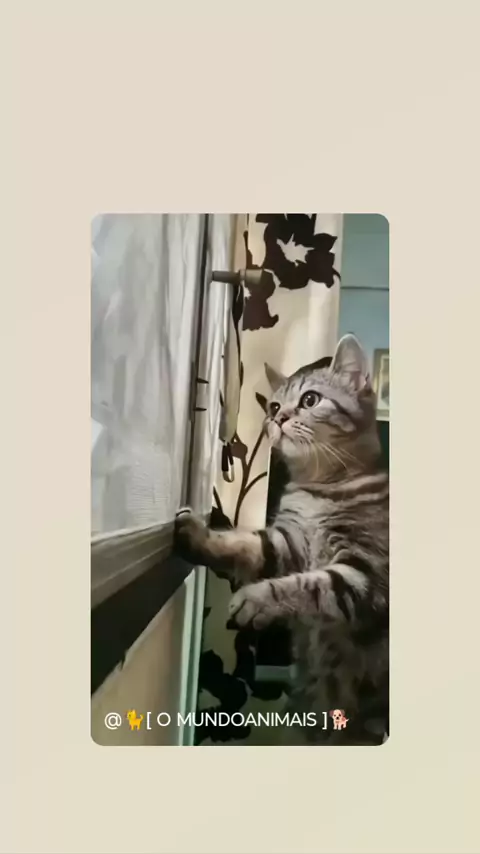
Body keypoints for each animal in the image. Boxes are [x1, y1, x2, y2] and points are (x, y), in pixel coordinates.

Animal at [175, 334, 389, 745]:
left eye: (310, 400)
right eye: (273, 405)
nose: (278, 417)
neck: (317, 488)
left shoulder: (366, 572)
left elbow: (313, 585)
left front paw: (256, 600)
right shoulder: (285, 542)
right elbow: (244, 544)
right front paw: (199, 536)